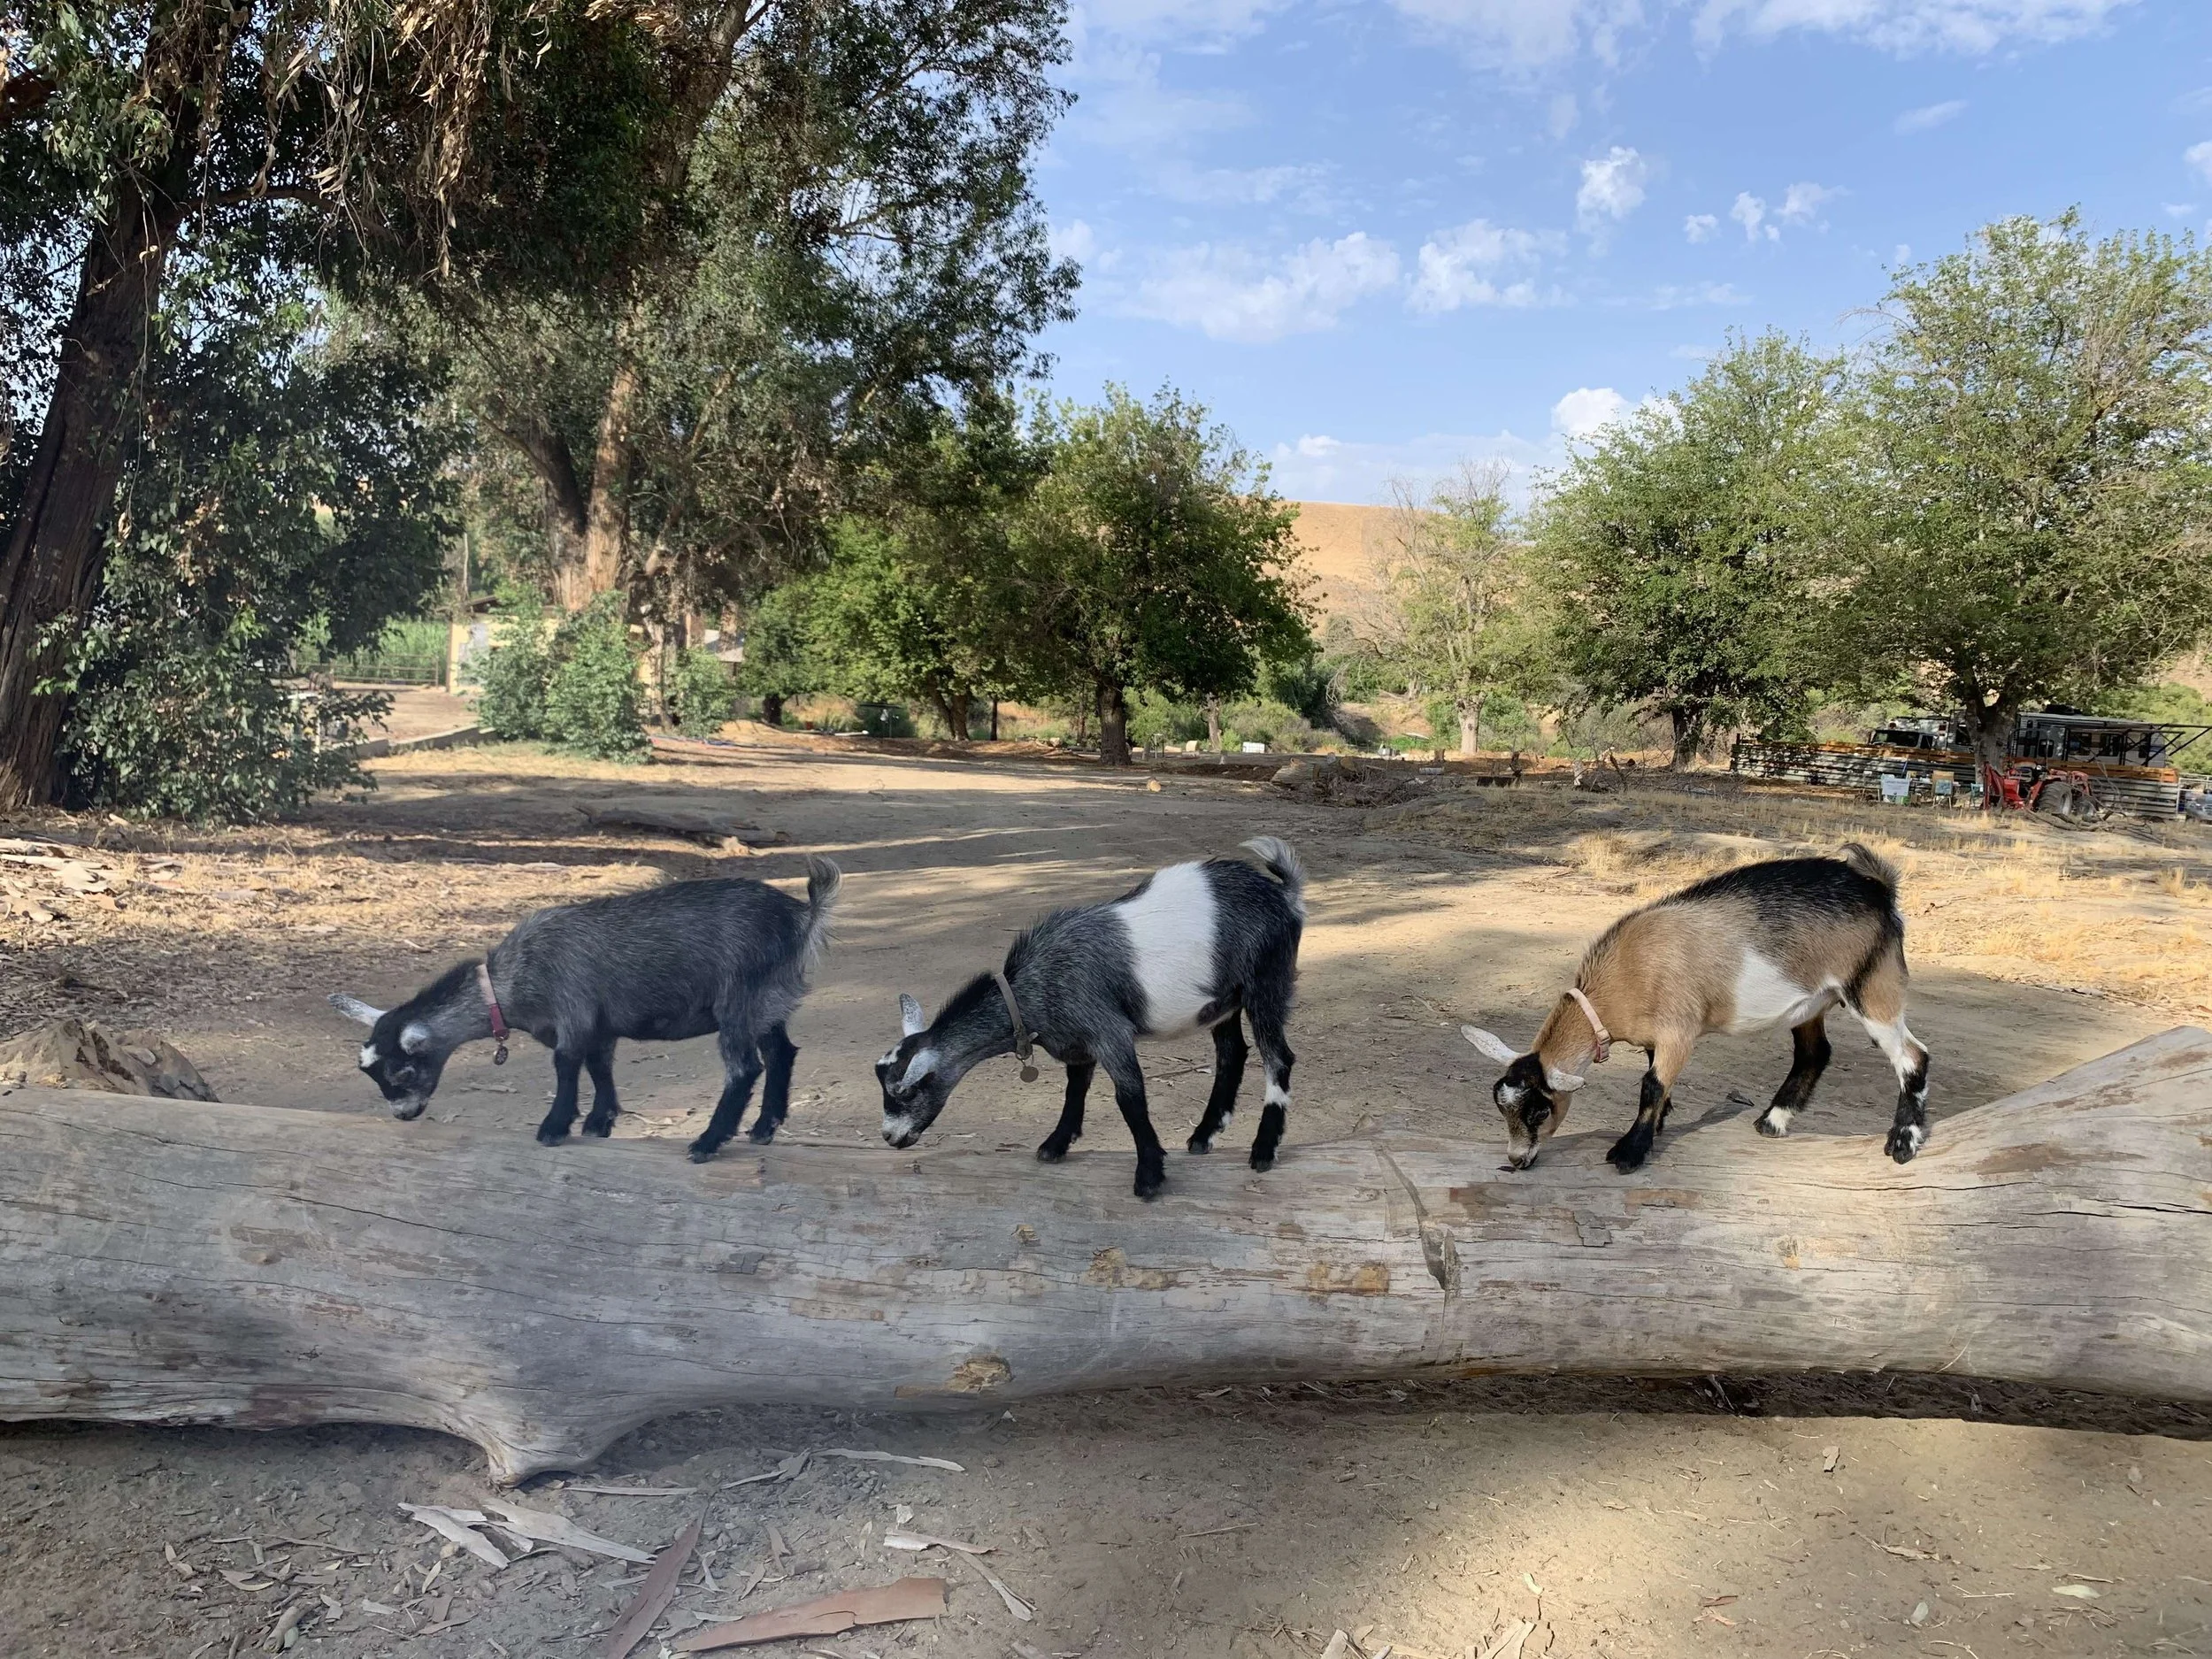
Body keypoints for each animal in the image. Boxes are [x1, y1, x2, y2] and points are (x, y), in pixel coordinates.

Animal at [331, 860, 839, 1162]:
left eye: (401, 1073)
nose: (403, 1115)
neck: (508, 982)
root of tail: (801, 917)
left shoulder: (572, 1012)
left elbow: (566, 1066)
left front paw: (555, 1127)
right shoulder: (600, 1025)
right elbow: (600, 1067)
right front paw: (600, 1122)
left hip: (739, 999)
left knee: (744, 1067)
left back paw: (708, 1142)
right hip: (768, 1001)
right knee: (782, 1052)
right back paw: (764, 1128)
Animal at [876, 837, 1306, 1200]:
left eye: (906, 1091)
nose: (889, 1137)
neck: (1032, 989)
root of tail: (1284, 894)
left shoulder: (1109, 1031)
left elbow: (1129, 1098)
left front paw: (1149, 1176)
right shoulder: (1078, 1043)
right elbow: (1074, 1090)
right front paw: (1055, 1144)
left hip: (1267, 981)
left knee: (1278, 1057)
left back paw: (1264, 1149)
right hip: (1222, 1002)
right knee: (1231, 1053)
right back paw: (1204, 1134)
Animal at [1462, 844, 1929, 1173]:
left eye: (1540, 1109)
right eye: (1500, 1105)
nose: (1517, 1159)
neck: (1628, 971)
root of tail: (1879, 888)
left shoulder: (1679, 1032)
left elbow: (1650, 1085)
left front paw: (1630, 1152)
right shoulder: (1655, 1039)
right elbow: (1655, 1081)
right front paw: (1657, 1126)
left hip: (1872, 987)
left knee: (1913, 1055)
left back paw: (1902, 1143)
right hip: (1809, 1004)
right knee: (1815, 1053)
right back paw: (1772, 1122)